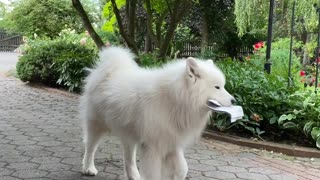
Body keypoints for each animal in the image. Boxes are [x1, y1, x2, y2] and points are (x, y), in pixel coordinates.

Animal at [80, 46, 235, 180]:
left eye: (223, 86)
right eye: (217, 87)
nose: (234, 100)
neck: (175, 97)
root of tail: (107, 71)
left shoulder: (171, 141)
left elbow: (182, 169)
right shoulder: (153, 146)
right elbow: (153, 174)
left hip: (129, 132)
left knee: (128, 156)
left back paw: (133, 175)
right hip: (96, 125)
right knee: (90, 147)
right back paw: (88, 168)